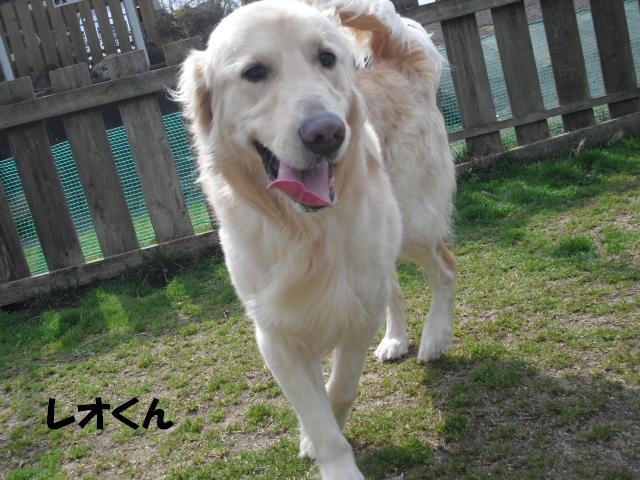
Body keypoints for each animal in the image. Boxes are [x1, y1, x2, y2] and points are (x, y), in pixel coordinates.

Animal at [177, 0, 456, 477]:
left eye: (327, 58)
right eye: (253, 72)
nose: (326, 133)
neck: (306, 229)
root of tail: (395, 60)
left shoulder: (357, 309)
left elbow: (340, 387)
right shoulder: (274, 332)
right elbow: (315, 413)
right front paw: (320, 442)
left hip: (412, 223)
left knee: (444, 267)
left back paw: (435, 338)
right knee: (397, 286)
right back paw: (395, 340)